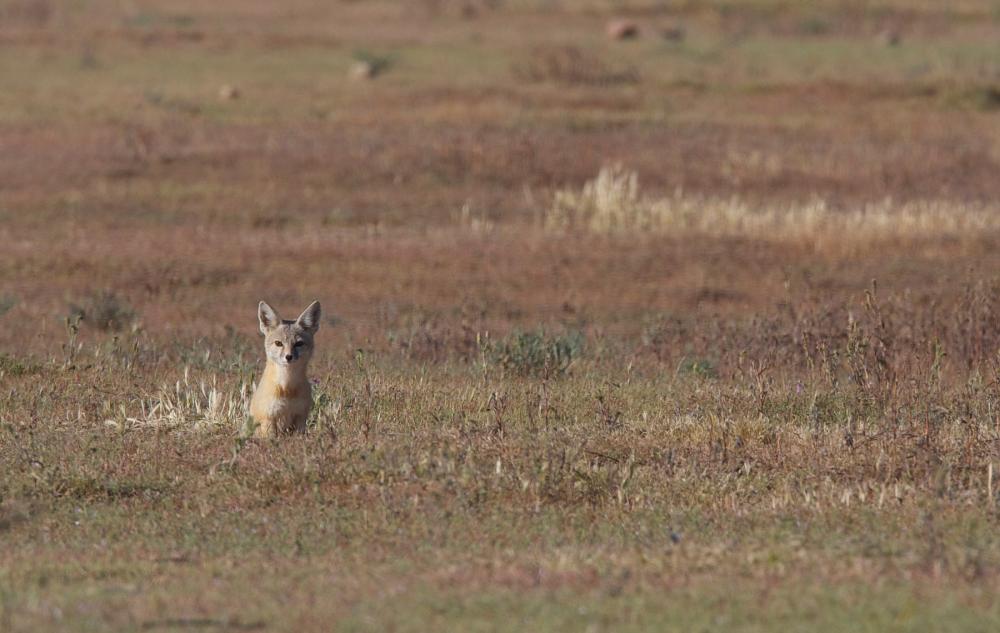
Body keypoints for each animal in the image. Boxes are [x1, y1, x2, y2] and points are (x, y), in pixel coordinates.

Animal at [249, 298, 320, 436]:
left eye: (299, 343)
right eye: (278, 343)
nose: (289, 356)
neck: (287, 389)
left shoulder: (300, 417)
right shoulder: (269, 418)